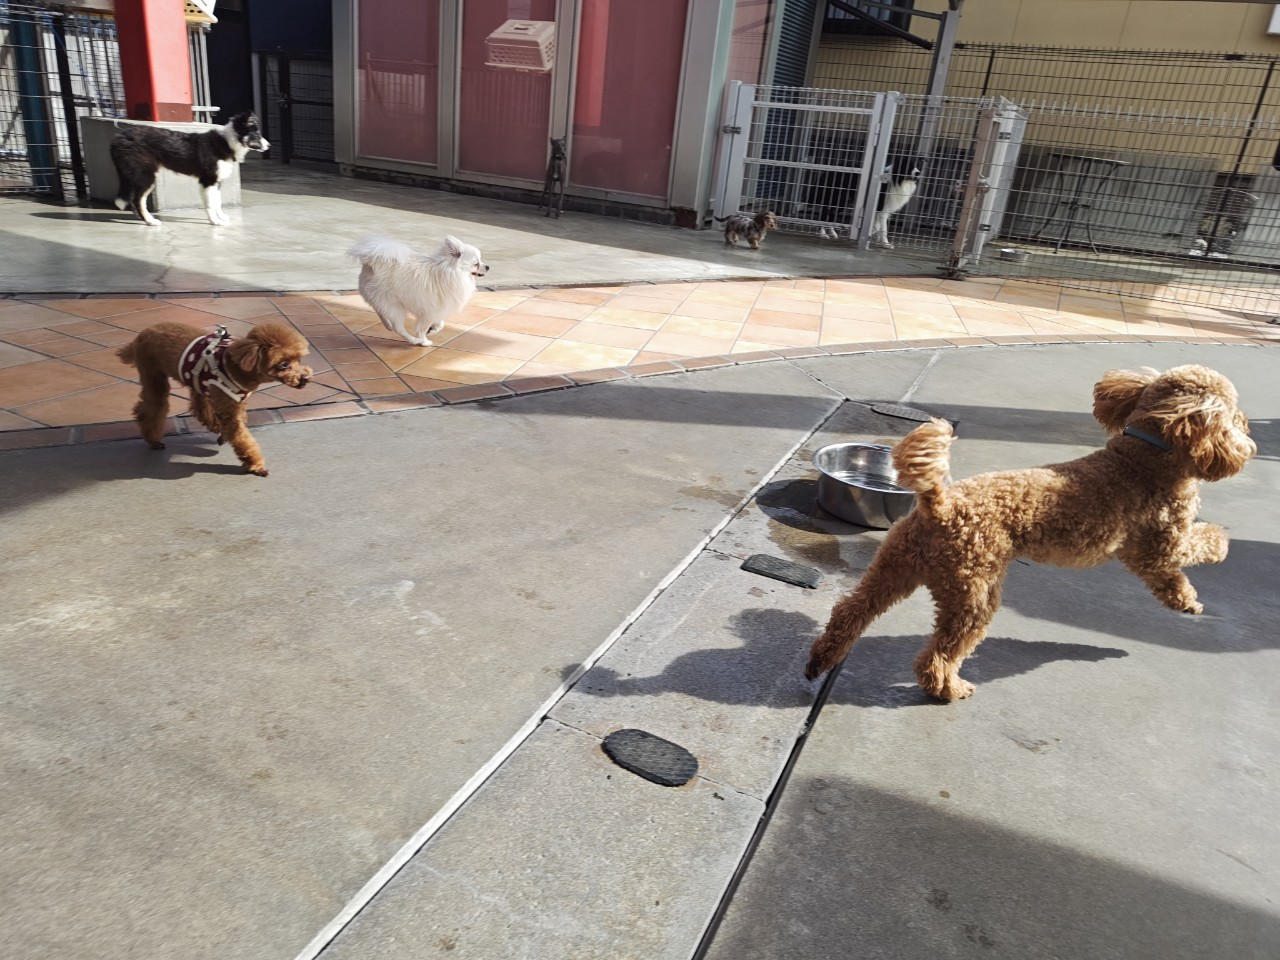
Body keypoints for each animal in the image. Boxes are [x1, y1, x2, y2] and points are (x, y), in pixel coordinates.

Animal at [110, 111, 269, 227]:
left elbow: (217, 202)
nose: (269, 146)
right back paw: (150, 221)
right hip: (146, 175)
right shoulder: (208, 181)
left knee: (133, 199)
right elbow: (211, 204)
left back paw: (141, 218)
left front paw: (221, 218)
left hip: (136, 175)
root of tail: (118, 137)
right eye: (256, 135)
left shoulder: (216, 182)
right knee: (138, 200)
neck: (227, 142)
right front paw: (215, 221)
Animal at [116, 322, 311, 477]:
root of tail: (142, 333)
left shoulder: (234, 402)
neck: (238, 367)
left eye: (299, 360)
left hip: (195, 382)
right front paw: (255, 464)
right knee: (152, 408)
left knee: (197, 405)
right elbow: (242, 438)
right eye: (284, 365)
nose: (305, 379)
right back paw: (153, 438)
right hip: (153, 375)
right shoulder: (228, 407)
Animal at [346, 235, 489, 346]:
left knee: (380, 312)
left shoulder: (439, 308)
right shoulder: (430, 310)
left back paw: (387, 325)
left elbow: (441, 323)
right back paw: (413, 340)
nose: (487, 266)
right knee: (398, 327)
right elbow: (422, 329)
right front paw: (424, 341)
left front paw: (433, 330)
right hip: (395, 306)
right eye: (476, 264)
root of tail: (372, 264)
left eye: (481, 261)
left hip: (382, 301)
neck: (453, 273)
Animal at [805, 365, 1255, 702]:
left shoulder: (1149, 552)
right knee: (940, 654)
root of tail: (940, 503)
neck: (1146, 455)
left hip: (896, 566)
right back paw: (948, 688)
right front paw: (1203, 576)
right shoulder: (1161, 546)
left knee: (851, 611)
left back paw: (821, 659)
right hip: (973, 593)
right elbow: (1196, 549)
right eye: (1232, 411)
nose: (1247, 427)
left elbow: (1173, 570)